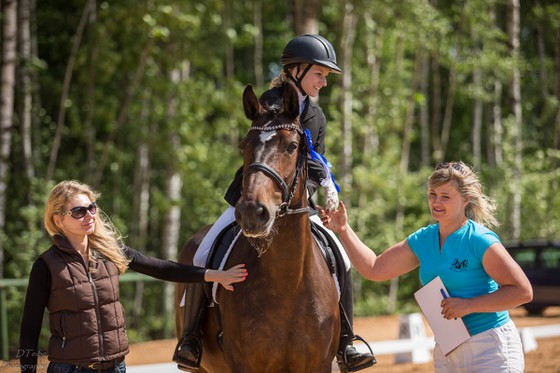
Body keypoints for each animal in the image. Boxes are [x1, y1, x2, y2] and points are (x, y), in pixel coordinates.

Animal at [177, 84, 340, 372]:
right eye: (244, 146)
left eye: (293, 146)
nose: (252, 212)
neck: (288, 283)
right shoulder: (244, 364)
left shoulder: (319, 365)